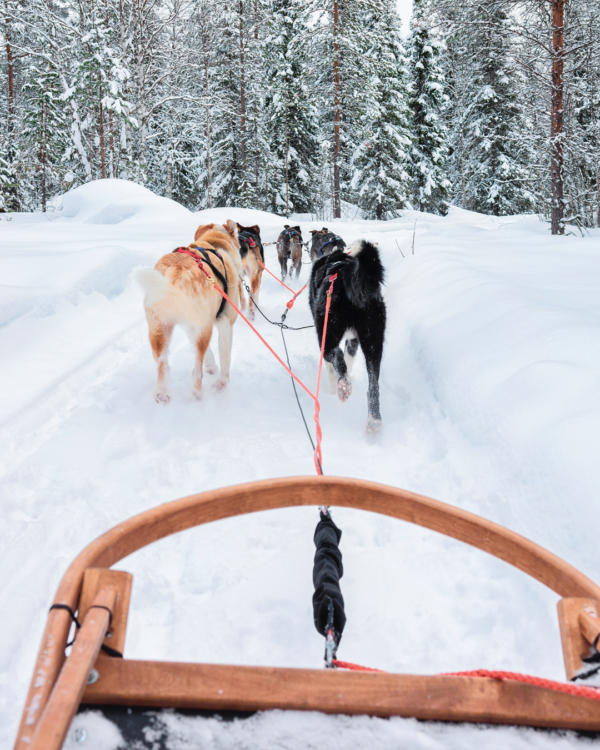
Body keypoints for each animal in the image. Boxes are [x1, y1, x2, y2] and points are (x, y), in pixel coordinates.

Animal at [139, 219, 243, 402]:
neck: (213, 243)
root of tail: (177, 270)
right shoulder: (225, 321)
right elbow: (225, 356)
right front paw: (222, 382)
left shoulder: (192, 327)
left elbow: (209, 354)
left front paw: (211, 366)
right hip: (204, 329)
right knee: (196, 370)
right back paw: (197, 393)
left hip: (159, 330)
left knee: (163, 364)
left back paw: (162, 393)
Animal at [308, 241, 386, 438]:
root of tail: (345, 274)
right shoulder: (354, 341)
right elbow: (350, 360)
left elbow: (333, 368)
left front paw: (331, 387)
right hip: (374, 342)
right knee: (373, 385)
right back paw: (374, 422)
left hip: (326, 334)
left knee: (336, 353)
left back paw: (343, 386)